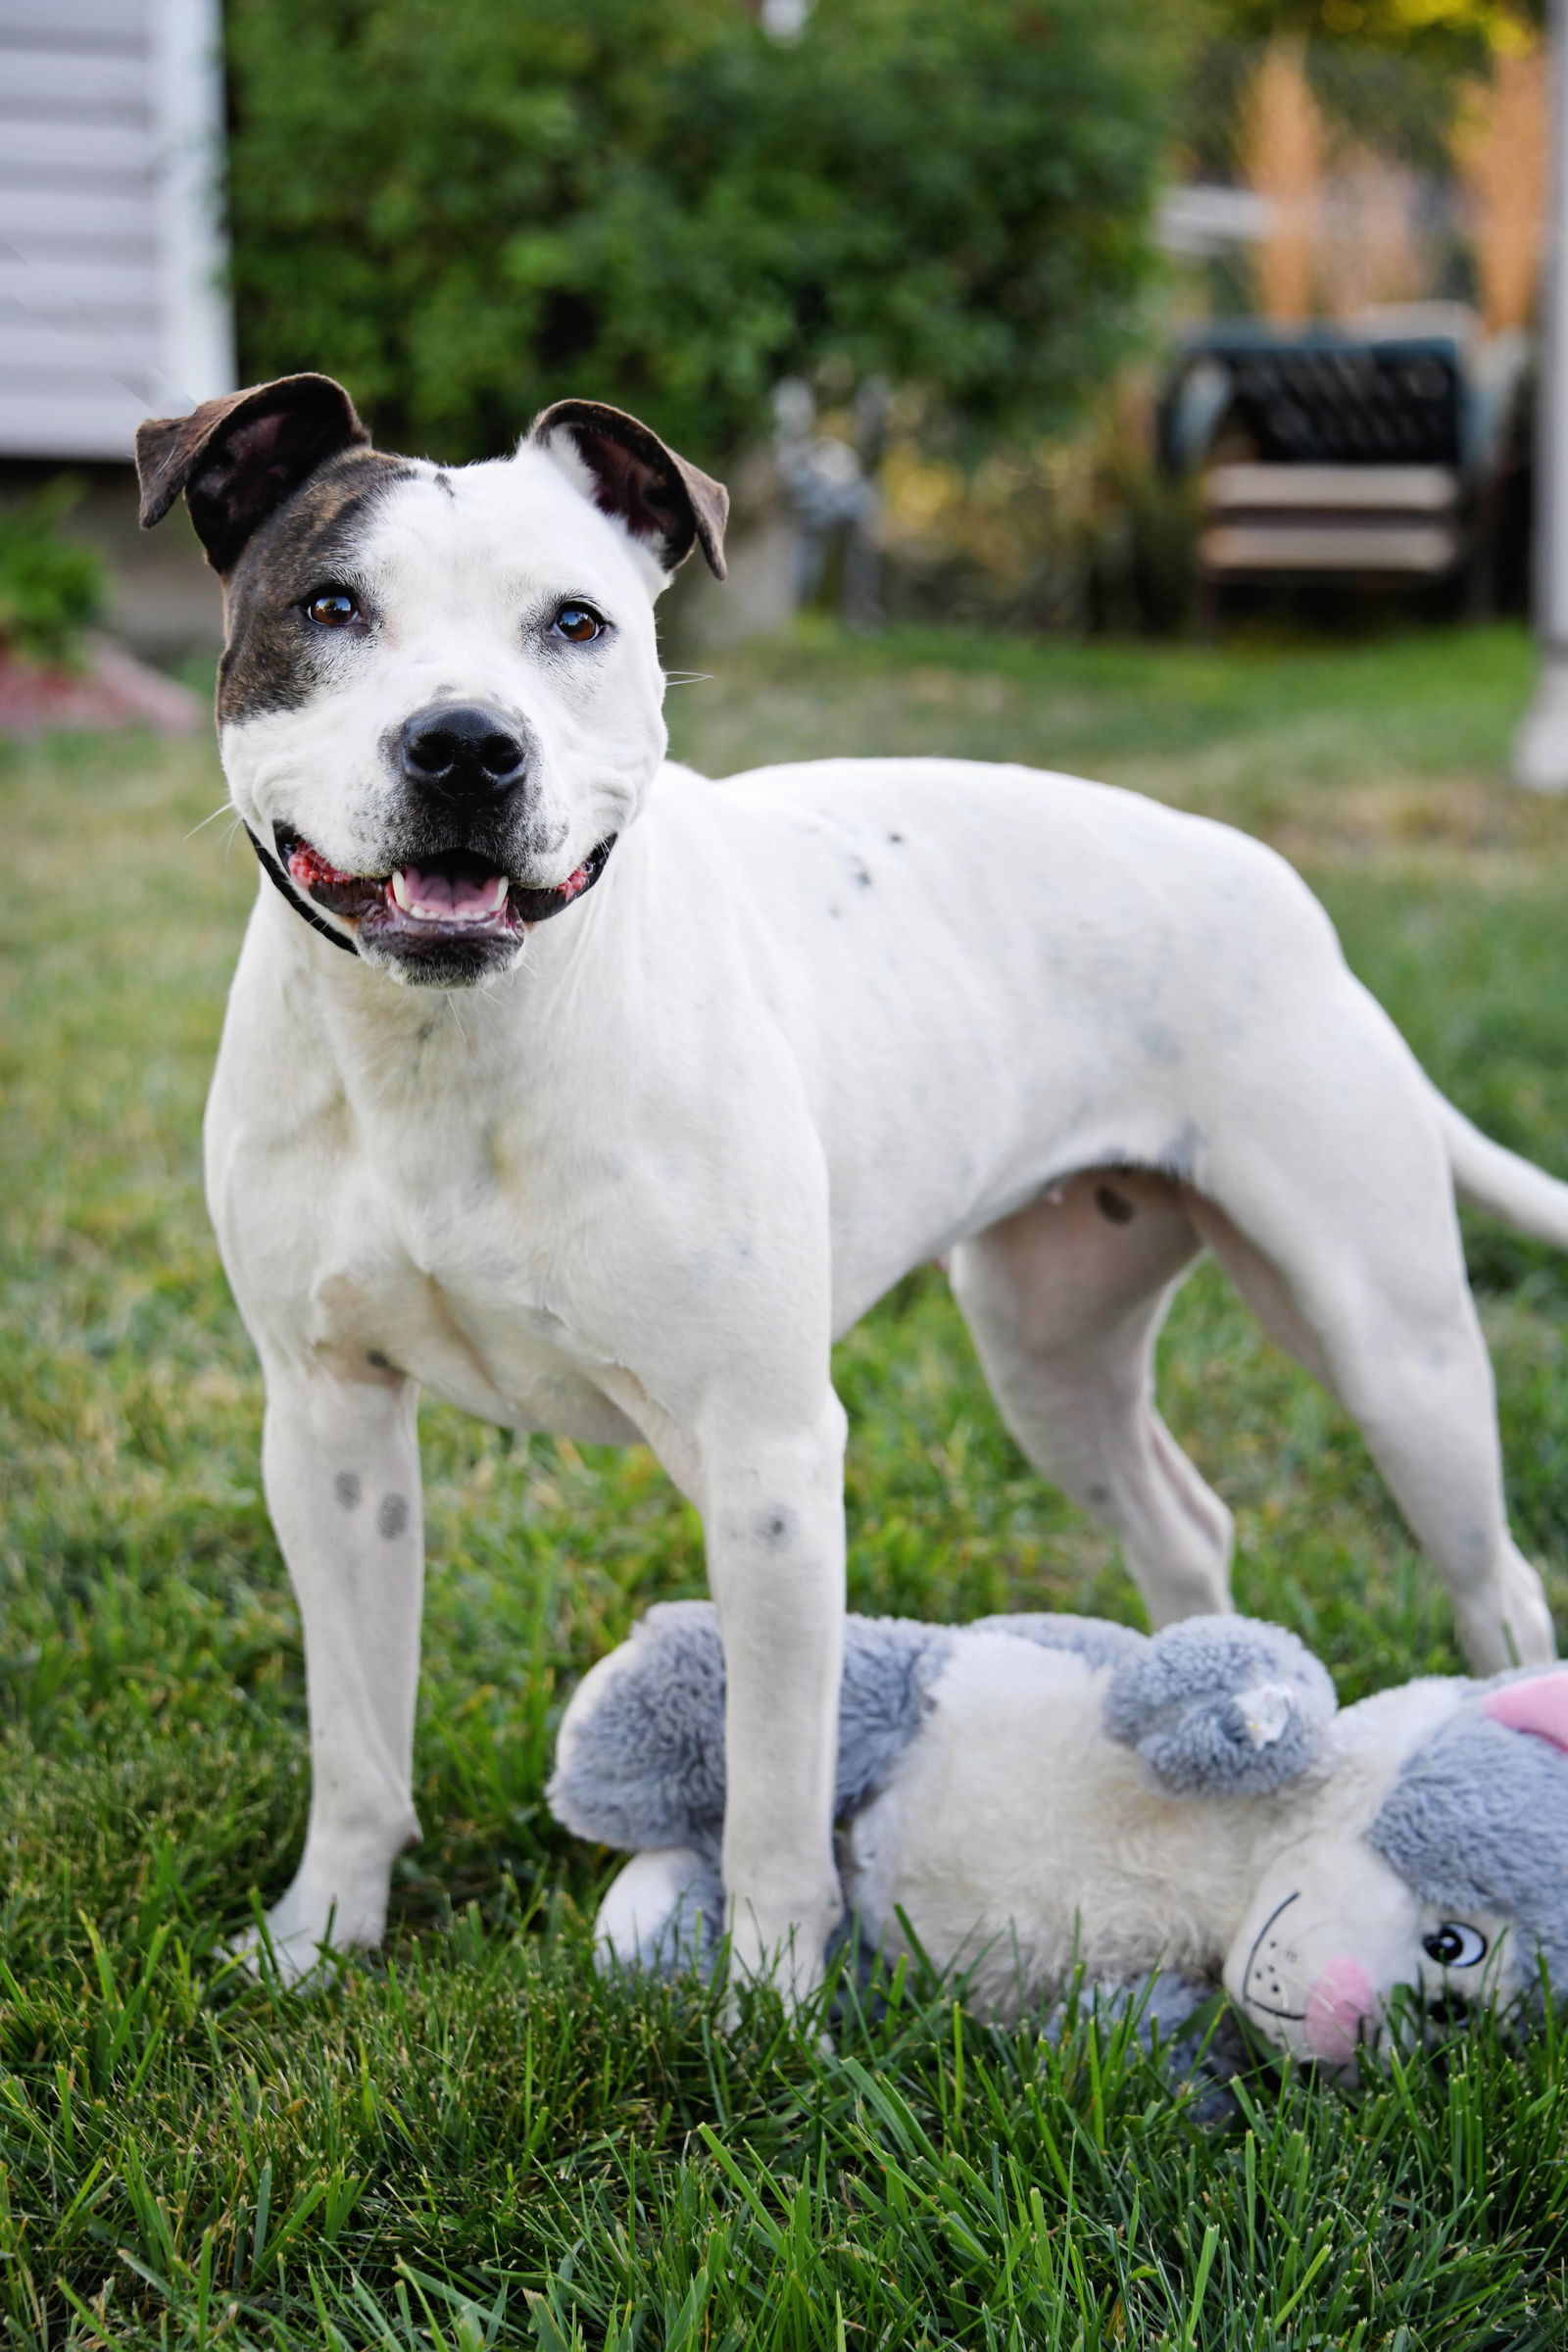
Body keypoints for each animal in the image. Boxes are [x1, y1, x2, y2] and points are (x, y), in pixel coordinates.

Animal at [137, 376, 1568, 1994]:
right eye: (329, 604)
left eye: (576, 623)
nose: (464, 745)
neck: (452, 1046)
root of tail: (1276, 880)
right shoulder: (328, 1431)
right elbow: (357, 1736)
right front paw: (320, 1937)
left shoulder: (766, 1462)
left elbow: (772, 1785)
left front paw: (766, 2000)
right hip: (1049, 1354)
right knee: (1183, 1526)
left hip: (1393, 1350)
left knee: (1498, 1579)